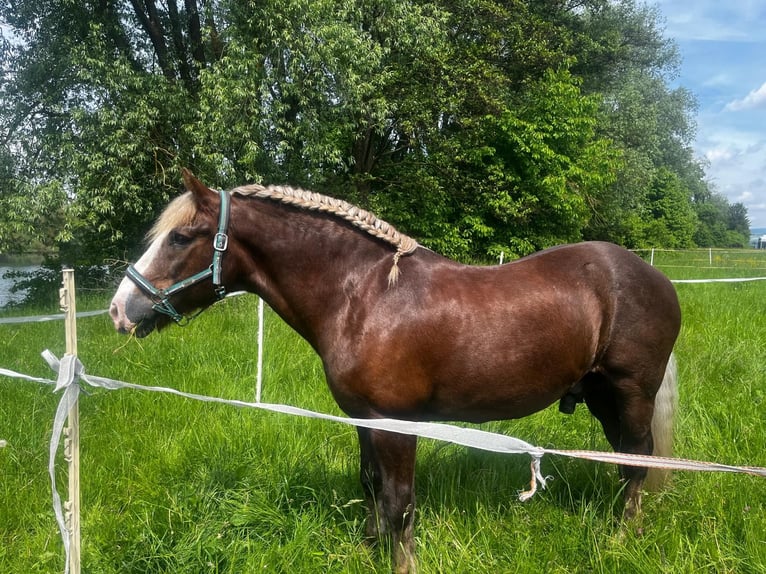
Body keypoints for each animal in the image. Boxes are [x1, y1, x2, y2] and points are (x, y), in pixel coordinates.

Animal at [110, 170, 681, 573]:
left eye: (181, 237)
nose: (120, 310)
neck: (363, 296)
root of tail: (653, 276)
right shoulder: (363, 418)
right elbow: (372, 487)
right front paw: (368, 550)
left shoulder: (396, 423)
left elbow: (400, 502)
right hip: (602, 397)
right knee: (628, 460)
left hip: (630, 392)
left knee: (638, 460)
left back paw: (621, 540)